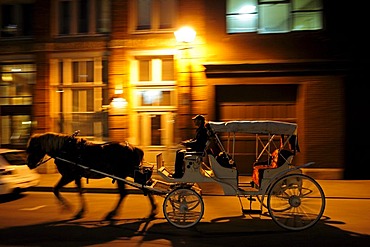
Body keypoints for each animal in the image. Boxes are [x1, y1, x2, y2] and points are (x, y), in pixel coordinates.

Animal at [26, 132, 158, 221]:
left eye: (33, 148)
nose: (29, 164)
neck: (64, 149)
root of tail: (134, 147)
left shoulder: (69, 175)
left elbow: (56, 189)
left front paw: (68, 207)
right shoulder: (77, 176)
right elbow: (80, 191)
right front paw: (80, 211)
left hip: (122, 174)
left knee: (124, 193)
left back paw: (112, 214)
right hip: (131, 173)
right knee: (145, 186)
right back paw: (153, 210)